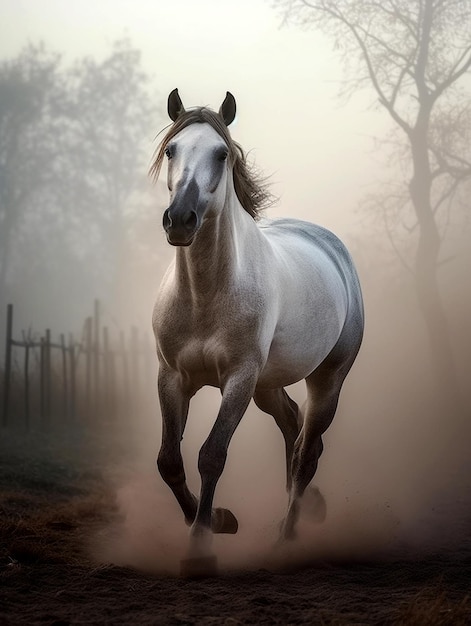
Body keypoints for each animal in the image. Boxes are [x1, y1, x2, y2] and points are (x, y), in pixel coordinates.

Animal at [151, 89, 366, 576]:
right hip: (268, 386)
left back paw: (286, 539)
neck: (206, 295)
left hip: (326, 380)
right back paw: (307, 511)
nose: (180, 220)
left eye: (221, 153)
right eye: (172, 149)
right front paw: (219, 520)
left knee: (307, 451)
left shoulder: (238, 380)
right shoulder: (173, 377)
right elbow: (169, 460)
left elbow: (211, 455)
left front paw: (200, 547)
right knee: (292, 425)